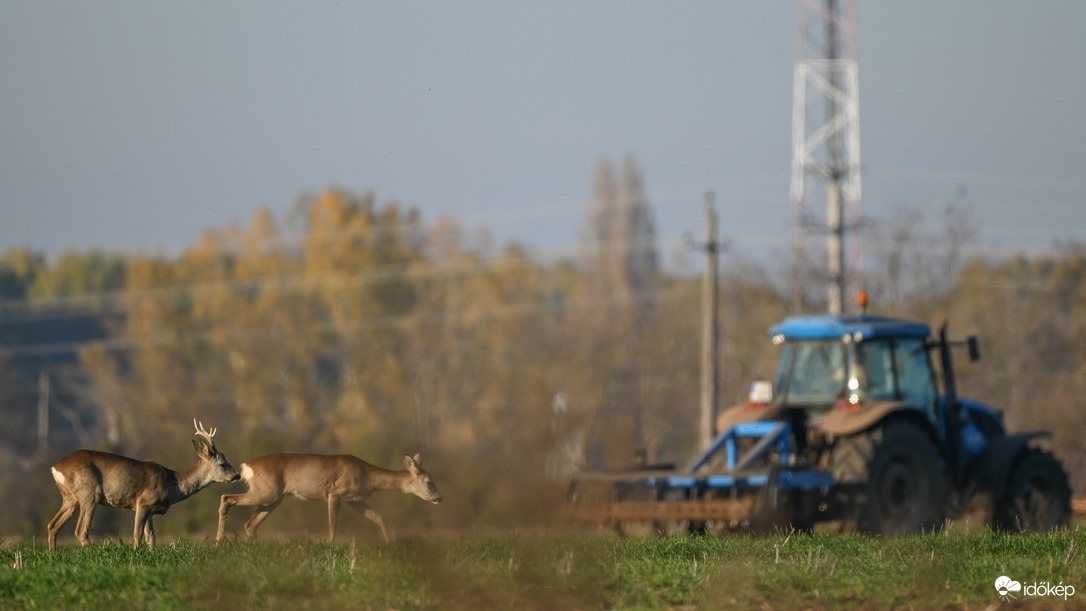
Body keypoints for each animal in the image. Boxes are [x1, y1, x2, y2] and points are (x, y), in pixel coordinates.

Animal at [46, 418, 237, 551]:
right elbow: (137, 534)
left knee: (53, 525)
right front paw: (135, 554)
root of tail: (56, 467)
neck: (173, 484)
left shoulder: (150, 509)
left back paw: (53, 554)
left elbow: (151, 536)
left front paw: (151, 554)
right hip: (89, 492)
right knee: (80, 530)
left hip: (70, 498)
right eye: (222, 464)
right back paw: (92, 553)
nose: (237, 475)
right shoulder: (143, 502)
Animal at [215, 449, 440, 544]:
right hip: (265, 492)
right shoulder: (335, 493)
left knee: (250, 524)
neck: (366, 474)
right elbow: (333, 523)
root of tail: (246, 467)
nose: (439, 498)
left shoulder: (356, 499)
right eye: (429, 481)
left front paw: (389, 543)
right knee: (226, 499)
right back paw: (219, 541)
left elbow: (378, 518)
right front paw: (331, 546)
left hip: (273, 498)